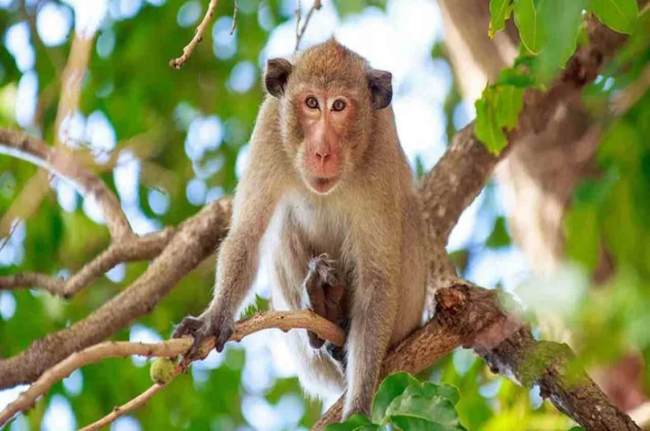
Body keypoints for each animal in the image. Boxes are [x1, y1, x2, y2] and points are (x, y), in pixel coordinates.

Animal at [173, 39, 428, 419]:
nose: (322, 151)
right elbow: (247, 234)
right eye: (311, 103)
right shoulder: (268, 128)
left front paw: (358, 407)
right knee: (282, 226)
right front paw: (214, 318)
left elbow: (377, 278)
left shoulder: (380, 146)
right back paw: (323, 309)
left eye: (339, 106)